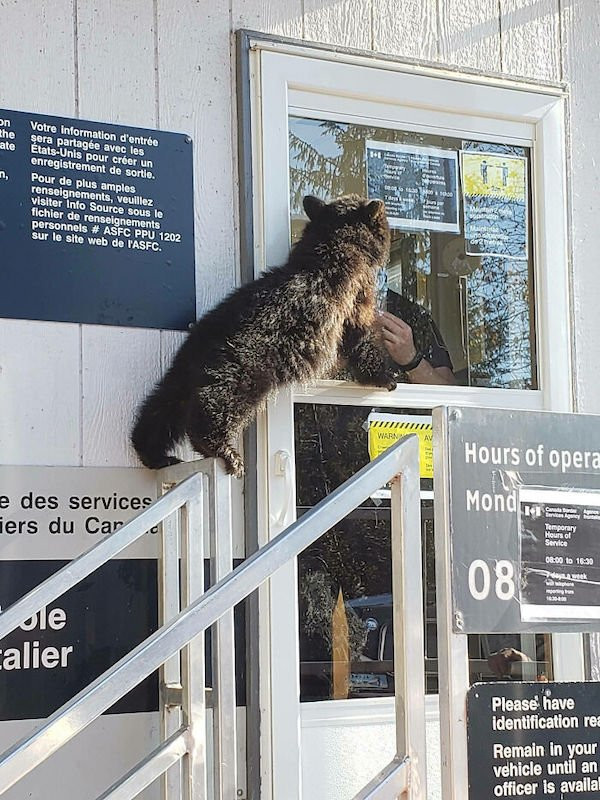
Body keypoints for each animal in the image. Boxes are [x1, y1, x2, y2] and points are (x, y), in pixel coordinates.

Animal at [130, 195, 398, 478]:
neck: (335, 246)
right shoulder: (354, 297)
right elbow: (360, 337)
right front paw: (385, 376)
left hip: (182, 370)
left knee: (163, 406)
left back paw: (155, 454)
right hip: (245, 367)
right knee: (217, 401)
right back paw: (224, 451)